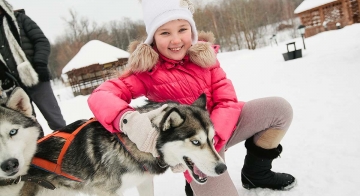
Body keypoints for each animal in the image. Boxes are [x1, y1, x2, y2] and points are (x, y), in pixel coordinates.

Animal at [20, 94, 225, 195]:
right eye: (196, 142)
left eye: (212, 138)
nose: (223, 168)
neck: (132, 146)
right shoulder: (105, 192)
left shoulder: (144, 182)